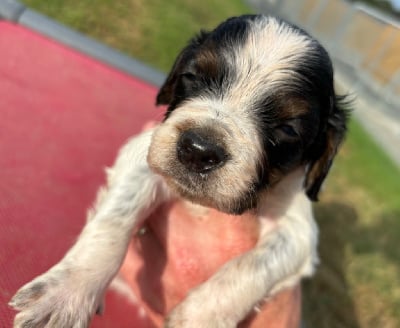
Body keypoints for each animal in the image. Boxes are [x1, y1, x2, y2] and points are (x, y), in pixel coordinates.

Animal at [8, 15, 346, 328]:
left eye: (288, 128)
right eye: (192, 76)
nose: (199, 150)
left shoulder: (298, 229)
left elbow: (254, 265)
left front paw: (198, 317)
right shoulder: (141, 156)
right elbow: (115, 219)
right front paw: (65, 294)